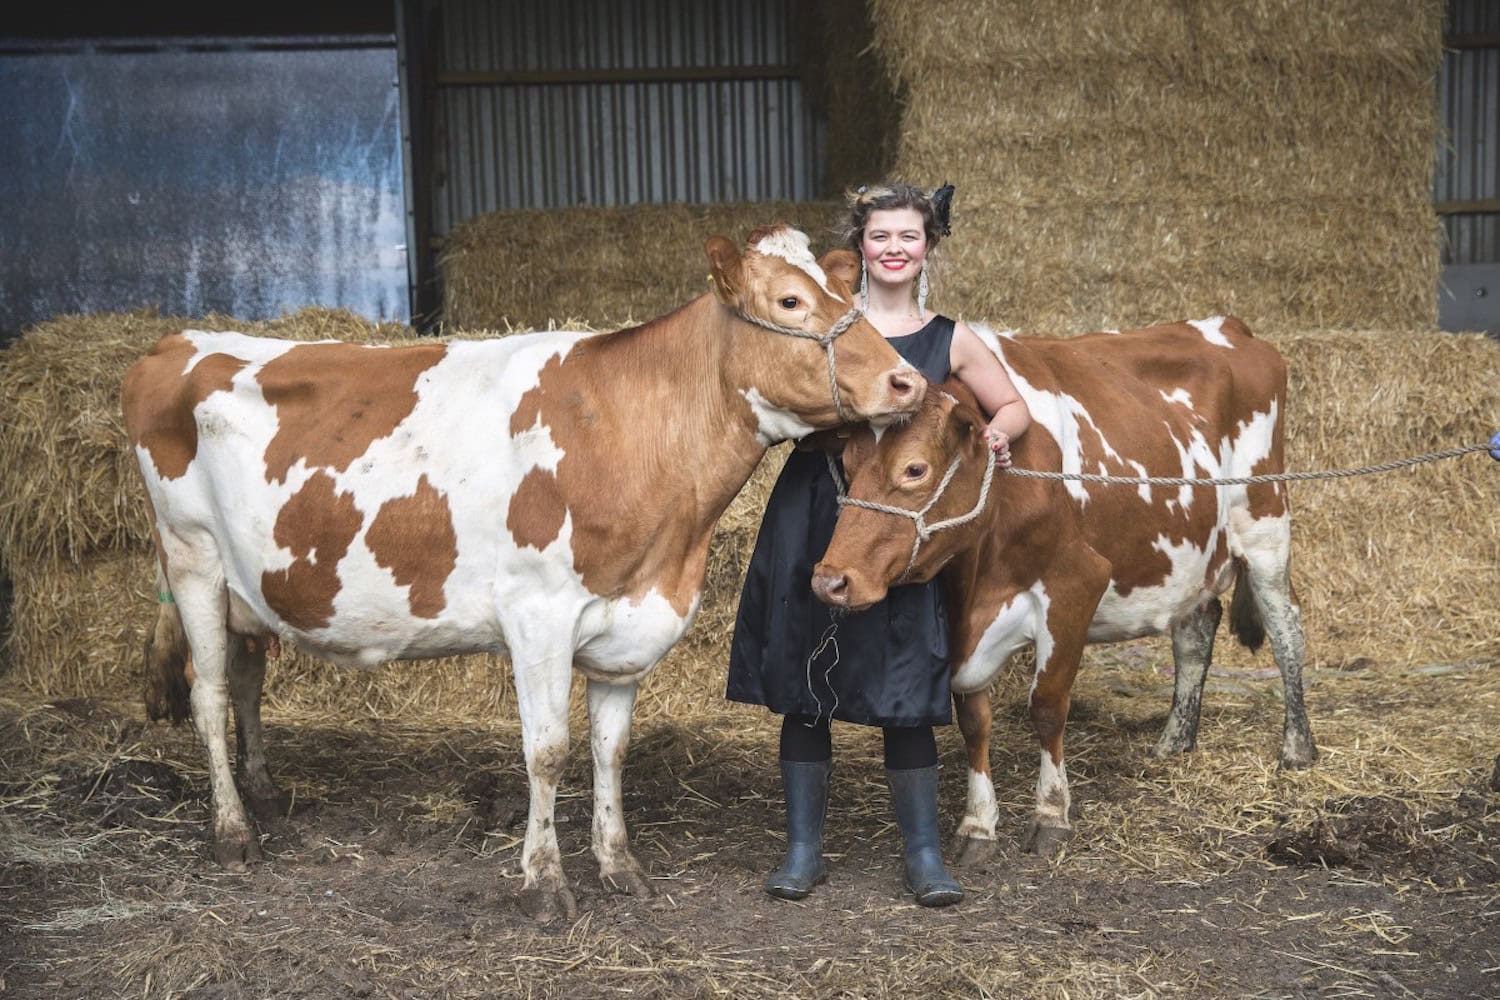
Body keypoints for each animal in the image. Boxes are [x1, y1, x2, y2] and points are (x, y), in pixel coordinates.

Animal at [126, 226, 924, 923]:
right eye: (790, 301)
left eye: (845, 290)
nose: (907, 380)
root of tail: (179, 341)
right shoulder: (538, 613)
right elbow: (548, 752)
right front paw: (544, 883)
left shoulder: (629, 619)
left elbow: (610, 749)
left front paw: (619, 865)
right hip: (193, 558)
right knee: (209, 694)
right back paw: (233, 833)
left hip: (250, 585)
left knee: (247, 680)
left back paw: (263, 794)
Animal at [810, 319, 1314, 863]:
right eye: (847, 464)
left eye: (915, 469)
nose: (830, 580)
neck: (979, 569)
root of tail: (1228, 326)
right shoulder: (966, 622)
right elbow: (973, 718)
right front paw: (978, 823)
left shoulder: (1076, 583)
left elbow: (1048, 706)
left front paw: (1052, 813)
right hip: (1195, 555)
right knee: (1196, 631)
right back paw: (1174, 741)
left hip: (1265, 525)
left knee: (1286, 631)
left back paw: (1297, 747)